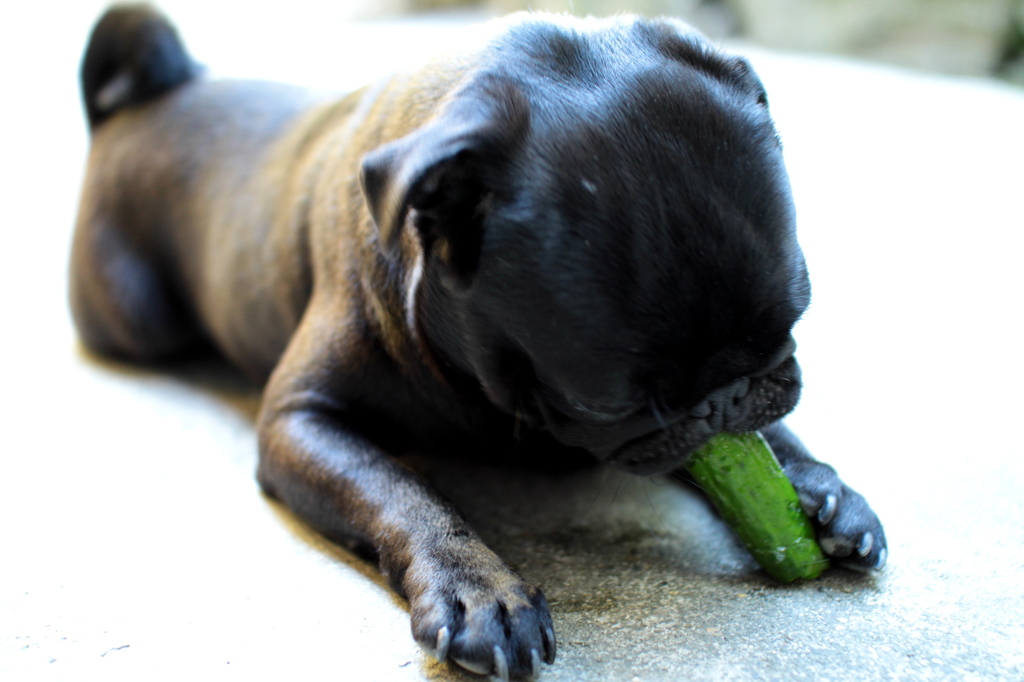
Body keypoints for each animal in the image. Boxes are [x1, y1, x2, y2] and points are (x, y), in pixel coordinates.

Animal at [74, 6, 888, 679]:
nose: (723, 401)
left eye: (787, 330)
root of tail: (145, 100)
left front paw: (821, 487)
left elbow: (768, 443)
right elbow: (402, 491)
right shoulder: (301, 421)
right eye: (606, 403)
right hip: (139, 320)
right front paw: (479, 590)